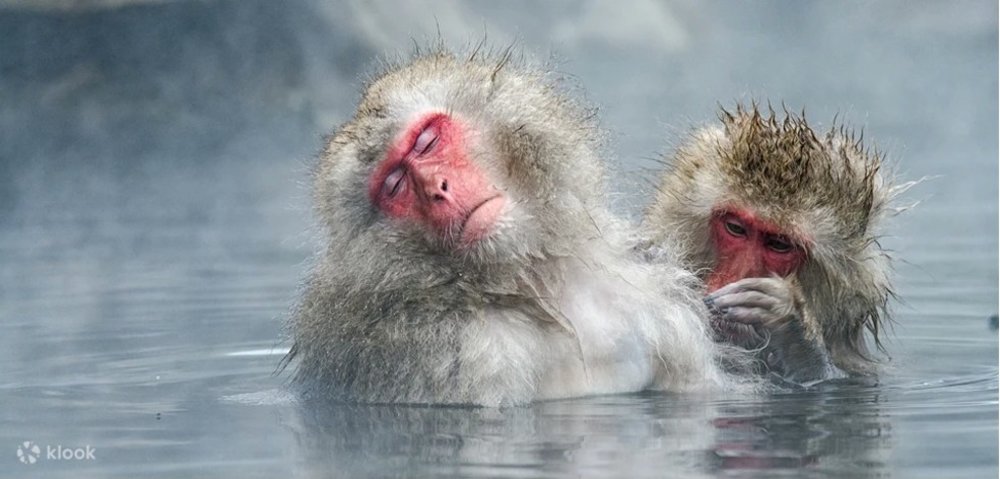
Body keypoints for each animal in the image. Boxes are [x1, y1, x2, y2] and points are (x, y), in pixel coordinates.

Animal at [284, 48, 735, 406]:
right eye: (395, 185)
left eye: (427, 141)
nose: (437, 189)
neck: (535, 282)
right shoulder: (445, 356)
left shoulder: (655, 294)